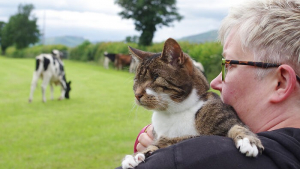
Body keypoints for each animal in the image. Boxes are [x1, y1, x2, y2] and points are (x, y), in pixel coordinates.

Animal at [120, 37, 264, 168]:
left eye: (156, 77)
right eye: (136, 80)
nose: (137, 95)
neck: (174, 112)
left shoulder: (227, 118)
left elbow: (237, 126)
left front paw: (248, 141)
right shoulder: (164, 139)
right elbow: (154, 146)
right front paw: (135, 156)